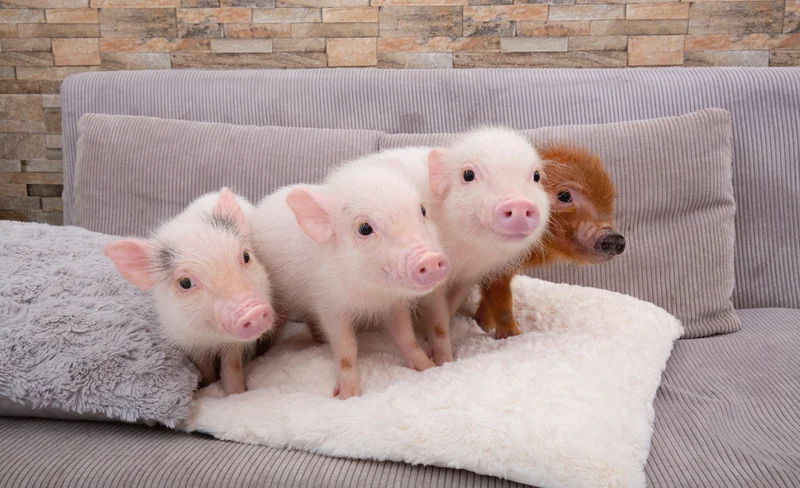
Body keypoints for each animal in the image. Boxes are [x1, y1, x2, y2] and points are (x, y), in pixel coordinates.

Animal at [104, 188, 276, 395]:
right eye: (185, 283)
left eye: (245, 256)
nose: (253, 310)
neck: (212, 337)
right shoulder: (187, 338)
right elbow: (203, 366)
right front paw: (205, 386)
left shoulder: (234, 344)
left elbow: (232, 366)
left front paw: (236, 393)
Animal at [249, 156, 450, 400]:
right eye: (364, 228)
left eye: (422, 210)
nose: (430, 258)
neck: (371, 296)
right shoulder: (330, 306)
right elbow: (346, 349)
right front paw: (347, 396)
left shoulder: (394, 305)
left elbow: (406, 337)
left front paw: (430, 367)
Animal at [380, 127, 551, 364]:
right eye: (468, 175)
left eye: (536, 176)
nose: (518, 203)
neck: (466, 253)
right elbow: (439, 319)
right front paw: (443, 361)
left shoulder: (469, 275)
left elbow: (452, 305)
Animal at [475, 144, 625, 339]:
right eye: (564, 195)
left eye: (611, 198)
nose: (614, 237)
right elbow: (502, 304)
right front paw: (513, 336)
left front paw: (482, 325)